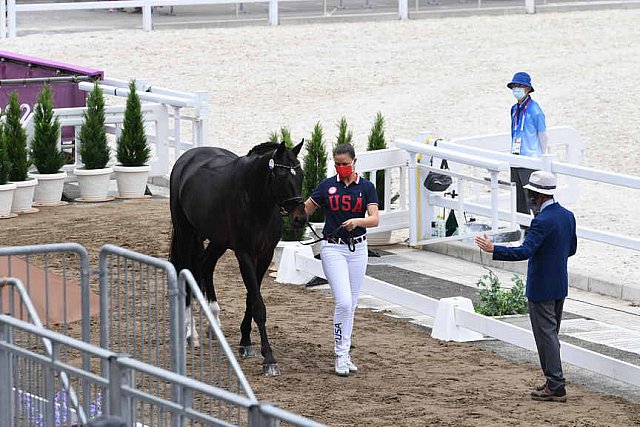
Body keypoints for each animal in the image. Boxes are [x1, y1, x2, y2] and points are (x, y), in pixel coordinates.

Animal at [168, 139, 308, 376]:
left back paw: (213, 322)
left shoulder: (264, 255)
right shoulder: (244, 254)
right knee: (187, 272)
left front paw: (246, 342)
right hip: (185, 233)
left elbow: (252, 298)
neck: (254, 199)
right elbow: (258, 305)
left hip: (218, 240)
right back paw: (191, 334)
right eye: (281, 176)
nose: (300, 218)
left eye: (301, 174)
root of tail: (187, 158)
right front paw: (269, 359)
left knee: (205, 266)